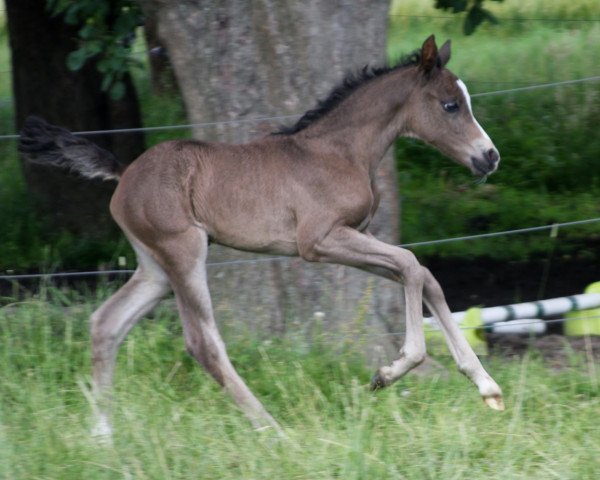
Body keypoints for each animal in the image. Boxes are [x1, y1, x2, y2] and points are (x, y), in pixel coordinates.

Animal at [18, 35, 504, 436]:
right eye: (450, 105)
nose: (490, 157)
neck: (339, 151)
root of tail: (124, 174)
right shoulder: (318, 241)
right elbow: (409, 264)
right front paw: (392, 370)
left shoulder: (350, 237)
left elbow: (421, 274)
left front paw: (486, 385)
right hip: (182, 252)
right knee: (202, 343)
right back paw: (271, 429)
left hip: (154, 267)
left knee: (106, 323)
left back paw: (103, 437)